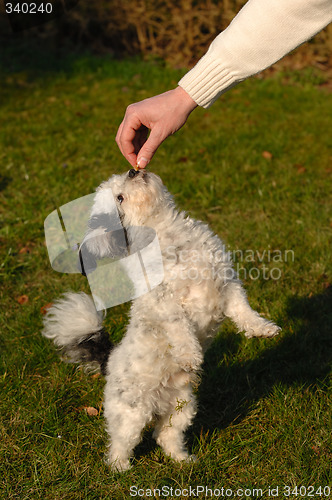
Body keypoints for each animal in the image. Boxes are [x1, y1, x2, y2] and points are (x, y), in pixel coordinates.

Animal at [42, 169, 280, 472]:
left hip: (181, 408)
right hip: (131, 413)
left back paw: (183, 460)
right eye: (120, 197)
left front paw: (263, 329)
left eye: (123, 181)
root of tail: (109, 361)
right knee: (120, 443)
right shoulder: (166, 304)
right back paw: (120, 469)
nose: (134, 169)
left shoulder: (227, 285)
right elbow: (180, 330)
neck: (167, 234)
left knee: (164, 435)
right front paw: (190, 355)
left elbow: (243, 311)